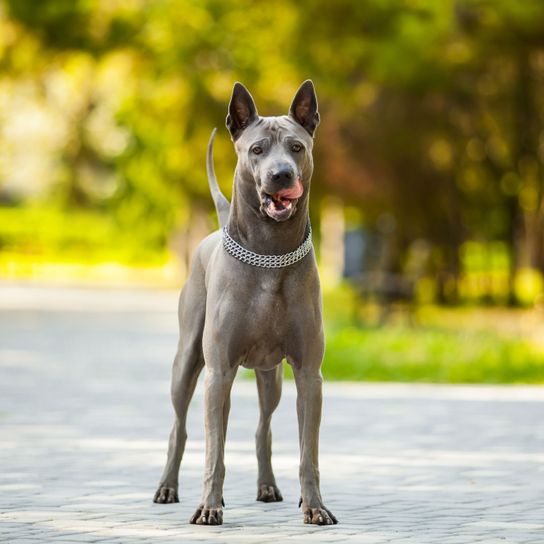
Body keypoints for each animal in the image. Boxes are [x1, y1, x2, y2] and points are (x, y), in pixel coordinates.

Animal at [153, 82, 338, 528]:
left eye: (296, 147)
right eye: (257, 149)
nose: (281, 174)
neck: (270, 254)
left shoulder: (310, 375)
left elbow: (308, 453)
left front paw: (315, 506)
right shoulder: (219, 371)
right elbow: (214, 452)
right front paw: (209, 507)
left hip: (270, 376)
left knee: (262, 427)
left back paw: (268, 486)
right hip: (190, 364)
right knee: (183, 427)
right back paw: (168, 487)